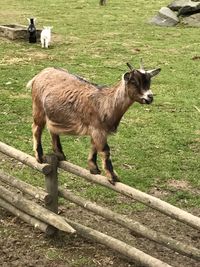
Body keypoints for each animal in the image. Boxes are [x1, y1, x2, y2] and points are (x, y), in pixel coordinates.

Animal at [27, 62, 160, 184]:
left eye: (149, 81)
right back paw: (39, 156)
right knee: (36, 128)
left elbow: (94, 146)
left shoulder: (96, 130)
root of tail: (39, 75)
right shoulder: (97, 129)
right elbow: (105, 151)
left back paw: (59, 154)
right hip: (38, 108)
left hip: (53, 113)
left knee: (52, 129)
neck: (106, 102)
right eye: (134, 82)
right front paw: (112, 176)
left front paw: (93, 168)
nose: (150, 97)